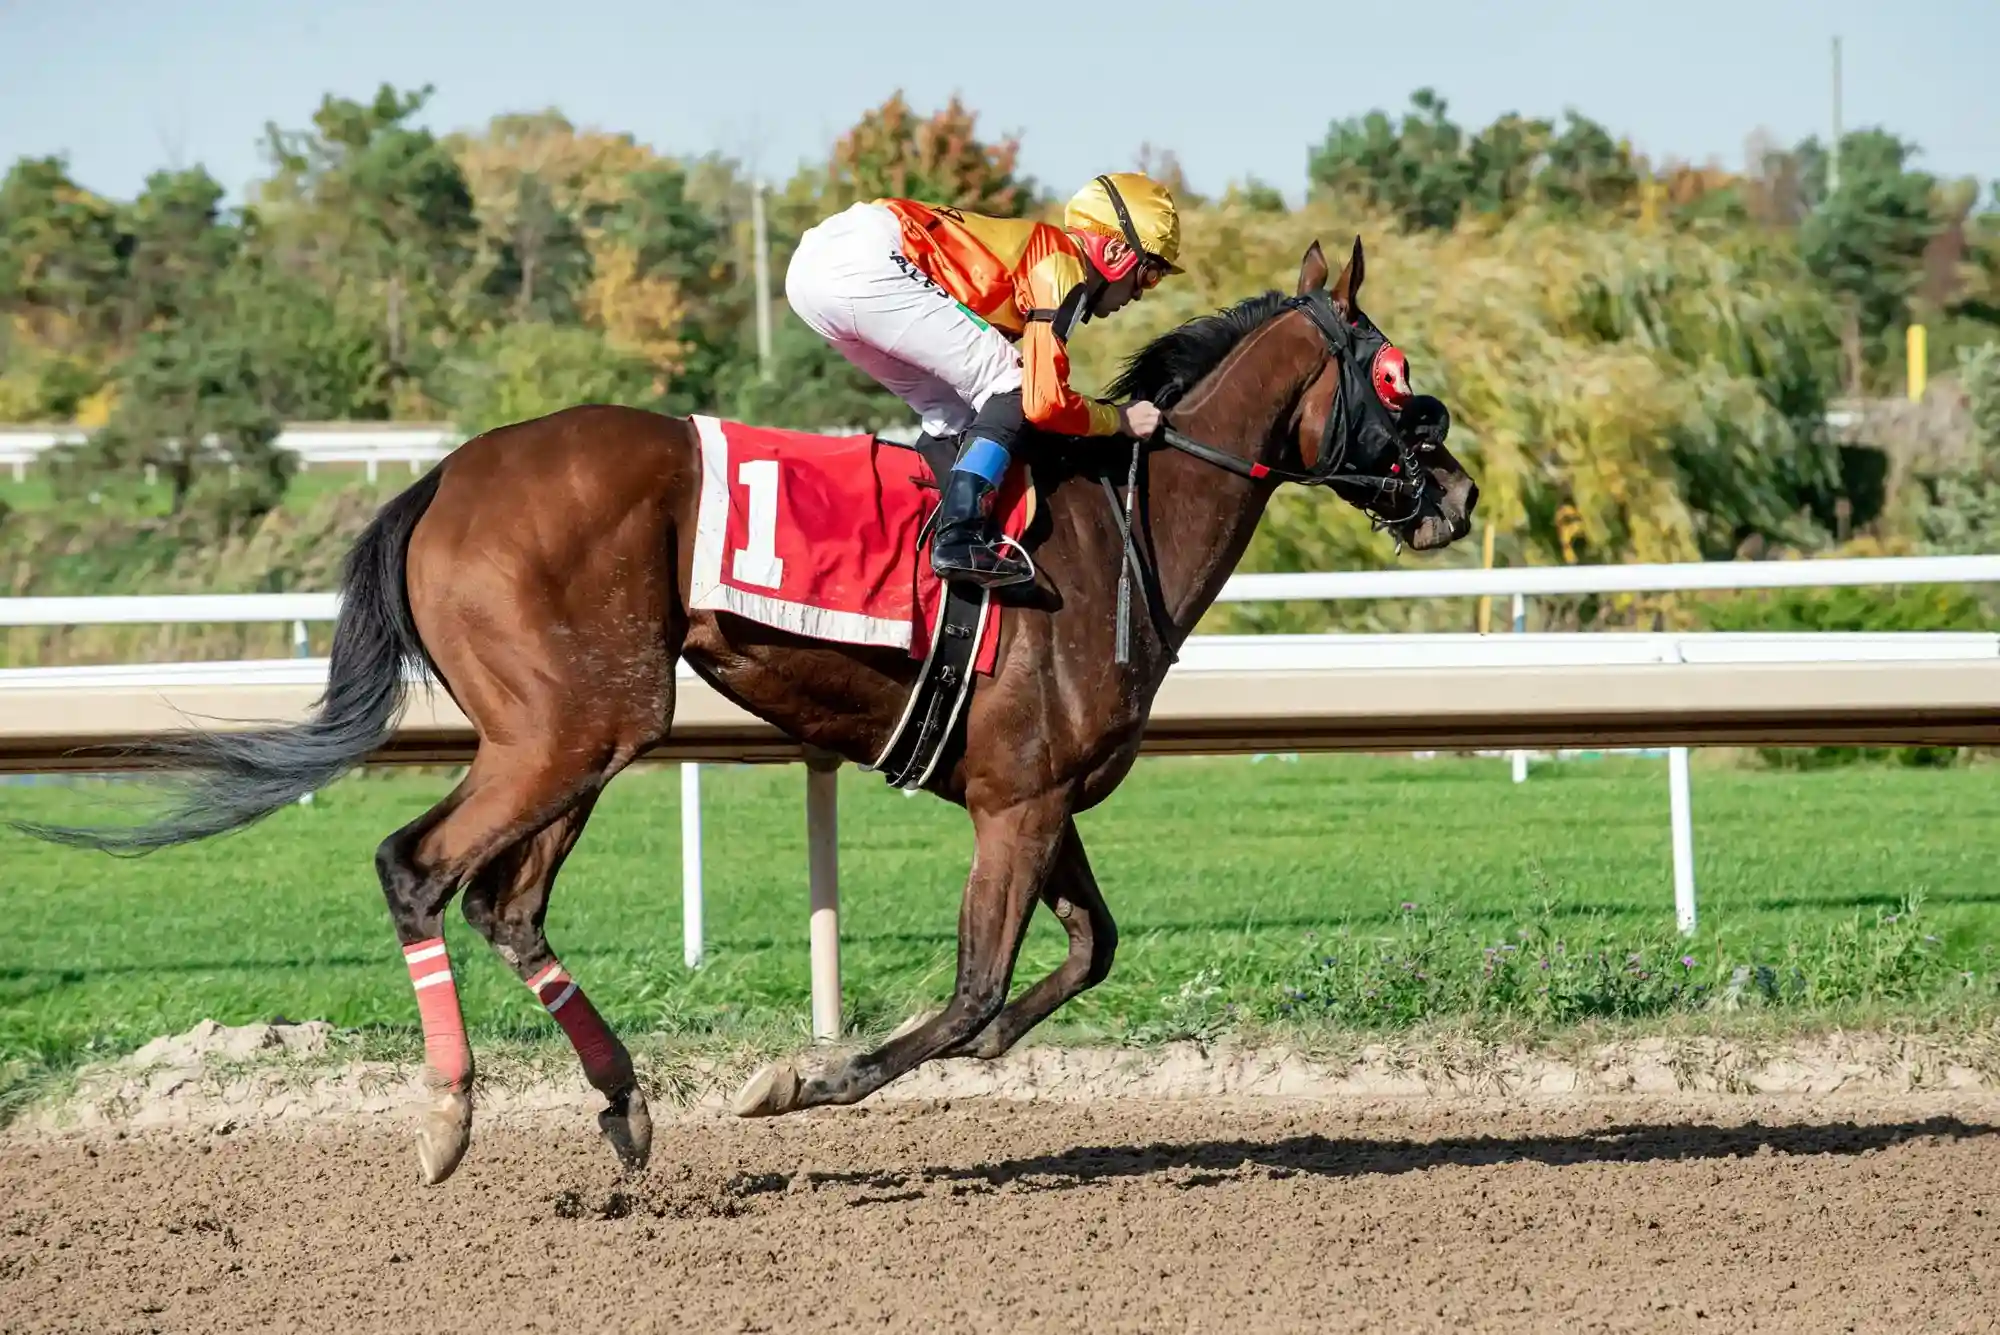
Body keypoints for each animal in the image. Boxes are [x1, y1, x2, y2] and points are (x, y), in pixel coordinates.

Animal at [14, 237, 1477, 1185]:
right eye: (1394, 375)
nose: (1457, 493)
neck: (1119, 530)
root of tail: (438, 480)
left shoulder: (1039, 792)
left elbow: (1083, 952)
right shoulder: (1016, 801)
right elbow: (973, 988)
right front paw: (800, 1081)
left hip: (583, 732)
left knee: (504, 902)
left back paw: (622, 1106)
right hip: (568, 727)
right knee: (417, 867)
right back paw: (449, 1116)